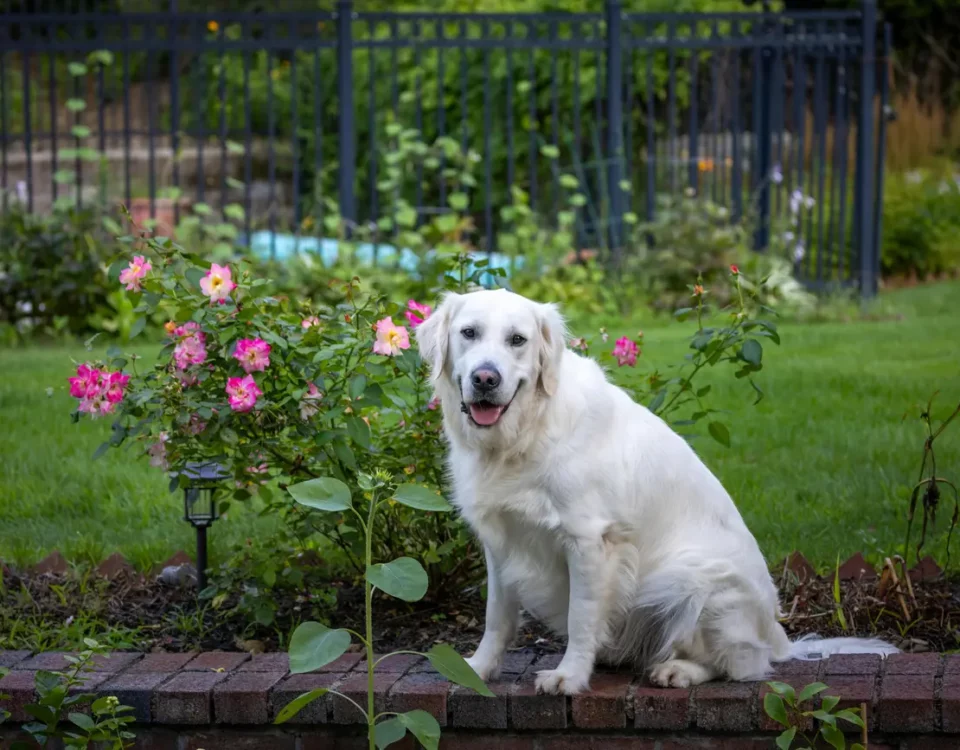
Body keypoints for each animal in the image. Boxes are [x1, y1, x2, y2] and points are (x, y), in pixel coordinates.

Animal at [414, 290, 900, 700]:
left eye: (517, 340)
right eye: (469, 333)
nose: (485, 378)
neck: (522, 436)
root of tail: (778, 634)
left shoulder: (589, 540)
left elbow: (581, 617)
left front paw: (570, 676)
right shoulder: (501, 541)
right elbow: (497, 618)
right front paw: (476, 668)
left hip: (693, 578)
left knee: (743, 664)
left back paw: (679, 670)